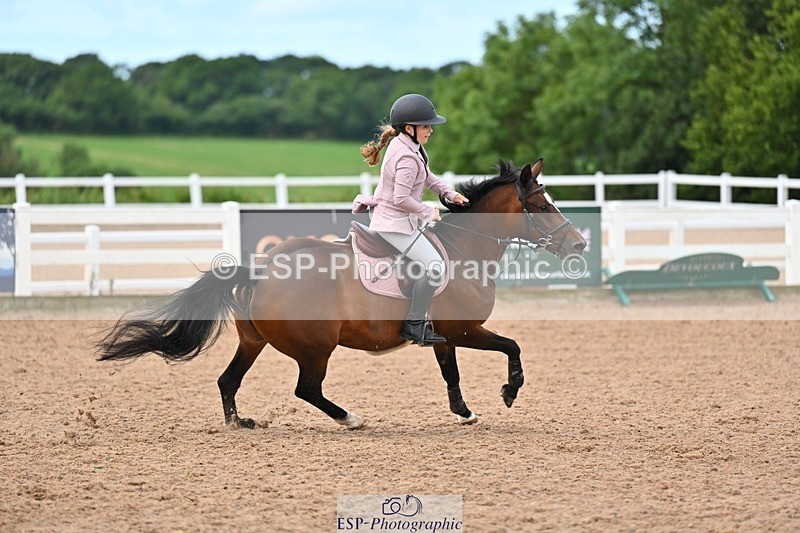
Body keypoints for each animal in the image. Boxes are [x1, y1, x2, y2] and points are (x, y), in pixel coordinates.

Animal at [96, 158, 586, 429]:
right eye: (541, 205)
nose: (580, 244)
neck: (466, 247)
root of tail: (262, 269)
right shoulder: (464, 329)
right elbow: (512, 346)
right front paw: (509, 391)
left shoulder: (444, 336)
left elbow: (452, 374)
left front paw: (465, 413)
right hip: (316, 347)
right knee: (306, 389)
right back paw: (351, 418)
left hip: (253, 341)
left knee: (228, 380)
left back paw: (239, 423)